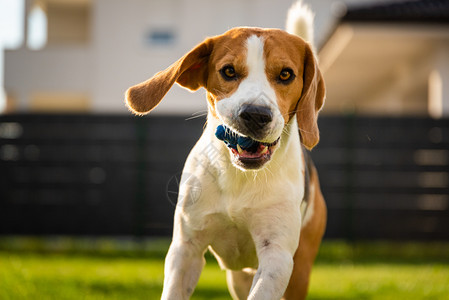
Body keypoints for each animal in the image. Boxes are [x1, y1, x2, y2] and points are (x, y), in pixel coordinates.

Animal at [126, 4, 326, 298]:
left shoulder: (277, 257)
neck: (238, 176)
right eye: (229, 71)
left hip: (299, 271)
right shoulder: (185, 250)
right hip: (238, 278)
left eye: (286, 74)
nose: (255, 114)